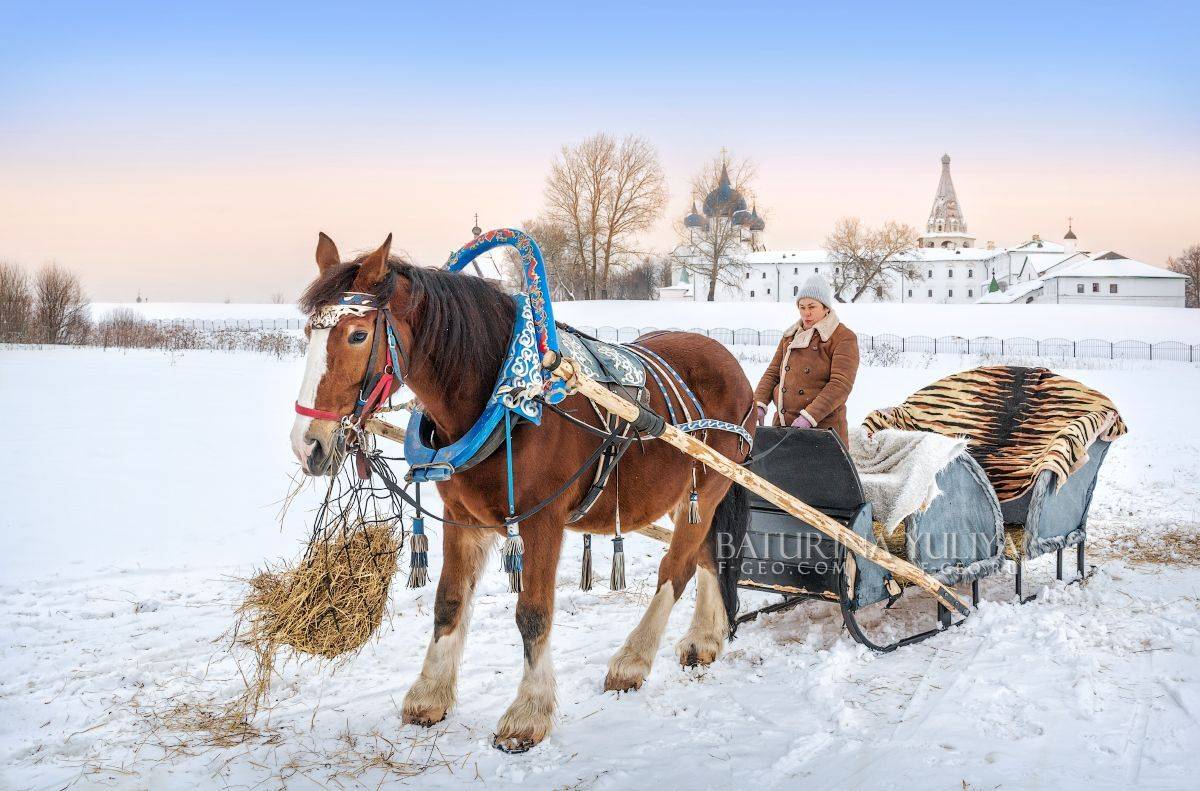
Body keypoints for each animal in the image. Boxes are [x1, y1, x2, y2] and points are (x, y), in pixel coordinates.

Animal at [289, 233, 754, 752]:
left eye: (357, 335)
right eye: (307, 332)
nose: (308, 444)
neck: (506, 396)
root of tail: (726, 359)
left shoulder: (541, 522)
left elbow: (532, 613)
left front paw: (528, 713)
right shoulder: (463, 518)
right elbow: (448, 602)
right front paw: (430, 694)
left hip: (708, 488)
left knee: (677, 568)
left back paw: (633, 660)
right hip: (687, 499)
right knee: (709, 554)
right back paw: (705, 638)